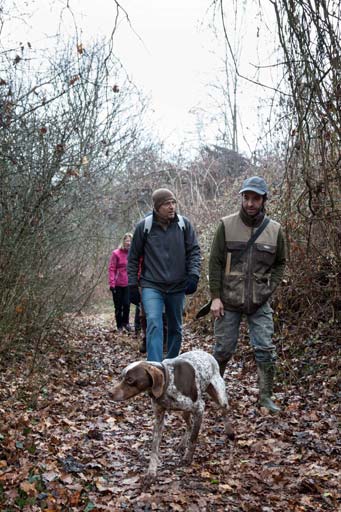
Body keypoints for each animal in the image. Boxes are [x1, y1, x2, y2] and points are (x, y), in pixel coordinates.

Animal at [111, 350, 234, 482]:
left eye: (130, 380)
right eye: (121, 377)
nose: (109, 393)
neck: (168, 383)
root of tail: (206, 353)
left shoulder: (200, 408)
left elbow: (193, 439)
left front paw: (188, 458)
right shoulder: (159, 419)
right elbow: (154, 448)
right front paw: (151, 472)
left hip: (219, 397)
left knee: (225, 410)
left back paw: (229, 432)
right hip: (184, 412)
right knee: (189, 425)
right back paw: (182, 443)